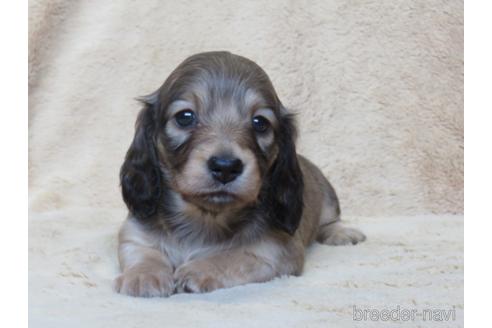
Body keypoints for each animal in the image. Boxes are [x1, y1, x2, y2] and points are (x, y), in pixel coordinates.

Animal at [113, 51, 364, 298]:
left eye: (260, 122)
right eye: (185, 116)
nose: (226, 166)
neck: (205, 218)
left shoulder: (274, 251)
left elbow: (232, 257)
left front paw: (199, 269)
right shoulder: (134, 234)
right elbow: (145, 253)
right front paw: (145, 275)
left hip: (329, 198)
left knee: (331, 220)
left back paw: (342, 233)